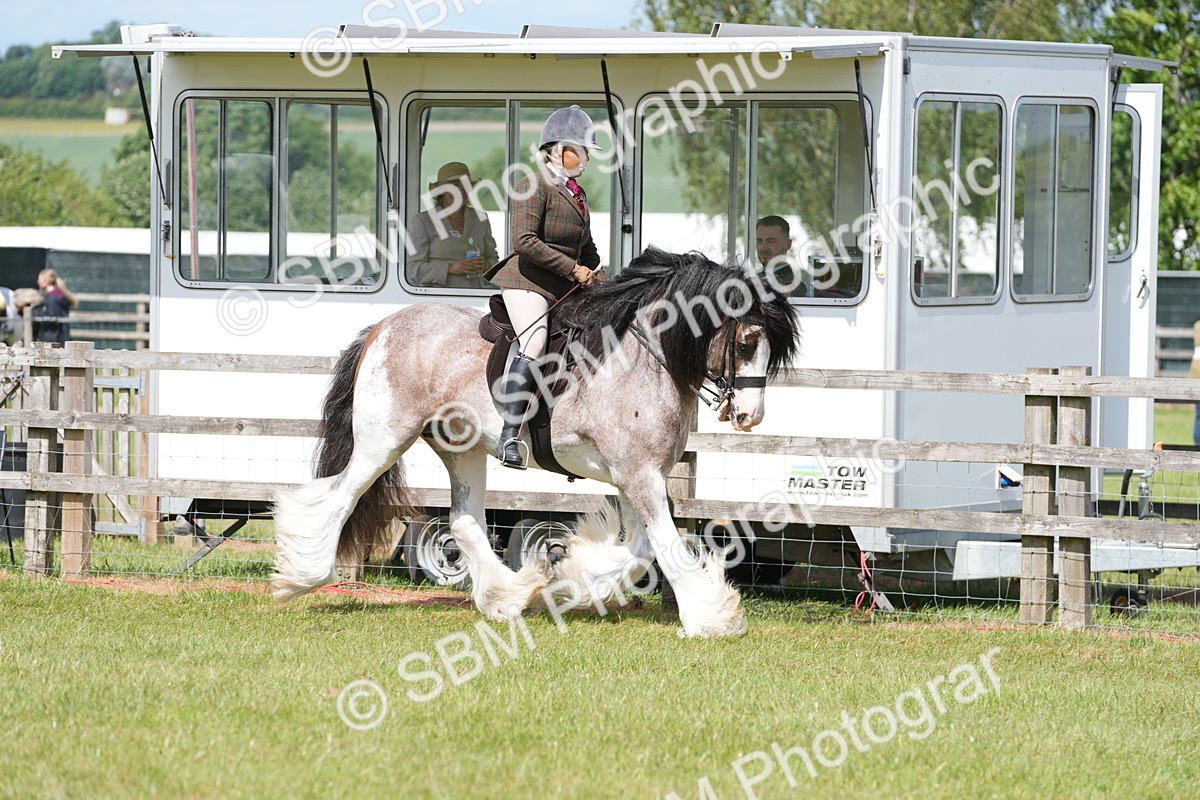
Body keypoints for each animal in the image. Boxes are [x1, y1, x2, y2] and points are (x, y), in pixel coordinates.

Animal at [271, 246, 801, 637]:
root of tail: (382, 327)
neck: (644, 359)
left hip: (461, 449)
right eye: (748, 341)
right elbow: (665, 545)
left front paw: (571, 576)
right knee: (340, 499)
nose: (750, 416)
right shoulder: (638, 475)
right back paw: (302, 577)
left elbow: (640, 549)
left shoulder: (635, 477)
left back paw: (509, 596)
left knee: (464, 522)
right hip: (384, 441)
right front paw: (711, 618)